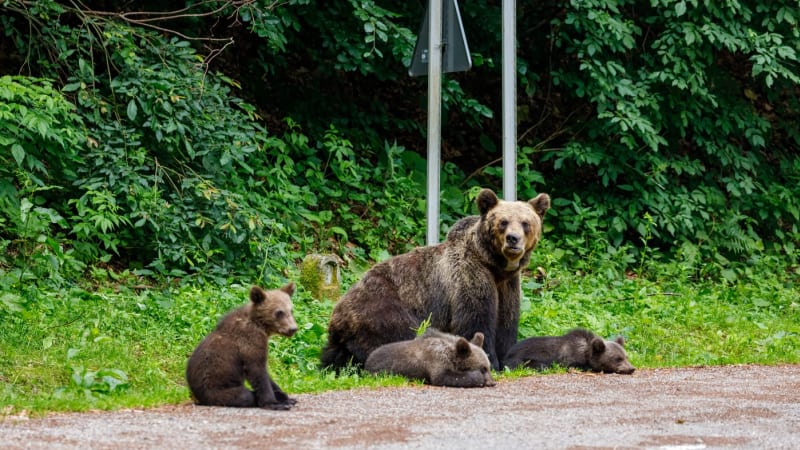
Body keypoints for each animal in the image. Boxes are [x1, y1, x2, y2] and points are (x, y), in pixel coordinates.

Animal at [320, 188, 552, 370]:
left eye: (525, 223)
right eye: (503, 222)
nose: (513, 239)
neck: (495, 266)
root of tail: (337, 315)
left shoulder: (507, 286)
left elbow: (506, 322)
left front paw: (509, 359)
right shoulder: (470, 277)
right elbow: (476, 319)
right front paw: (489, 360)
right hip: (383, 310)